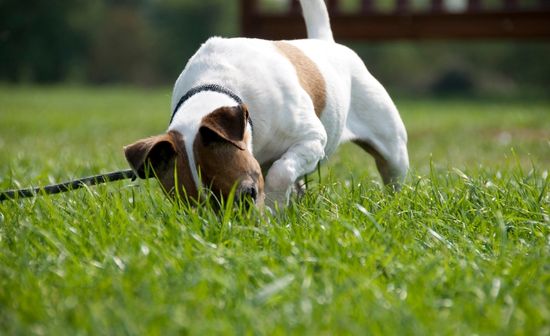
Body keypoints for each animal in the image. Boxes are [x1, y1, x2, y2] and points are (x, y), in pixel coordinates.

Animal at [125, 0, 410, 209]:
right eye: (189, 208)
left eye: (247, 193)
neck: (219, 87)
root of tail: (327, 43)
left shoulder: (312, 138)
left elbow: (280, 172)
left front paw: (274, 207)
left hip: (392, 148)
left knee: (393, 173)